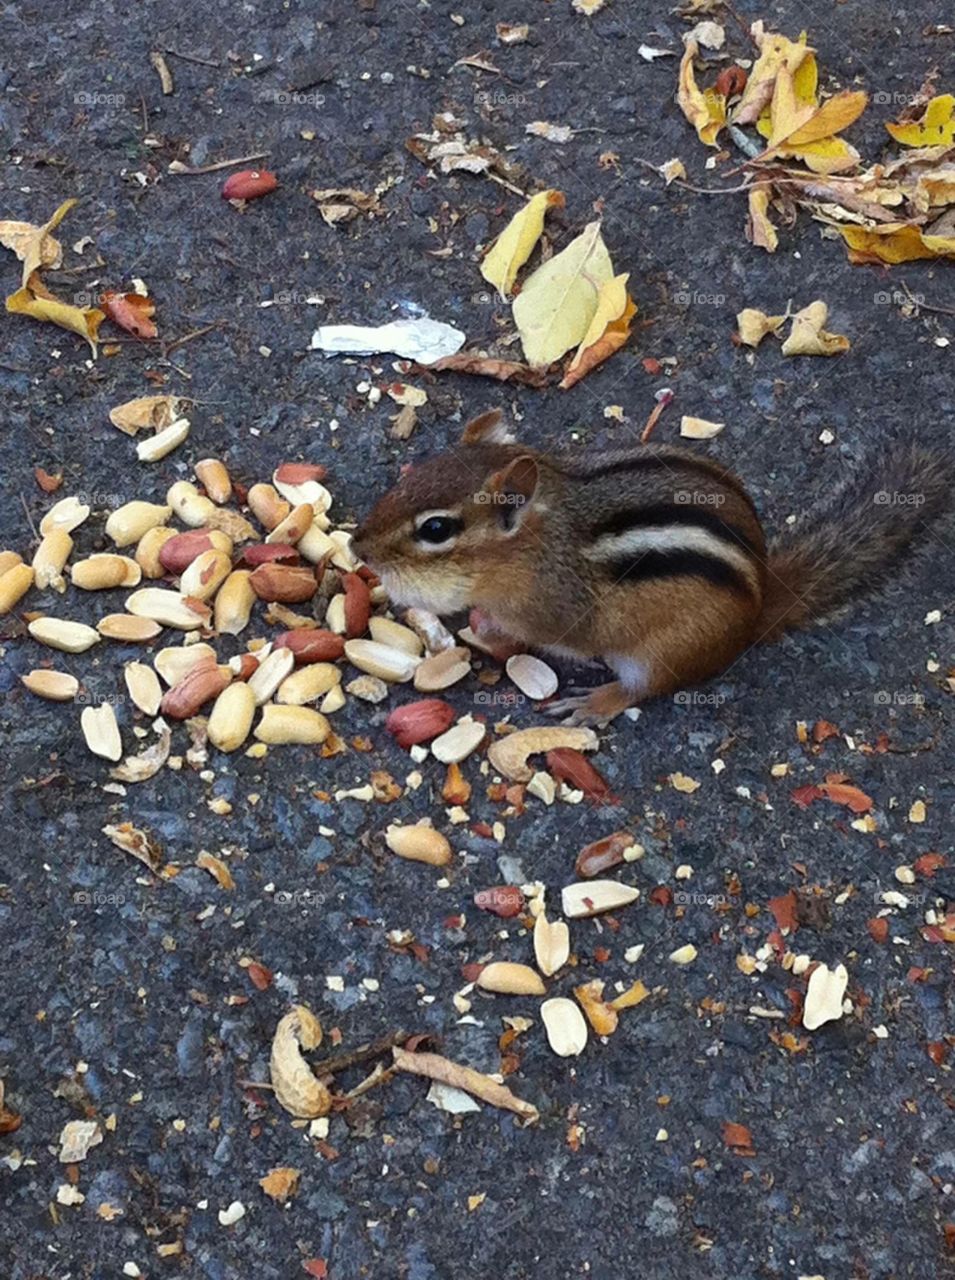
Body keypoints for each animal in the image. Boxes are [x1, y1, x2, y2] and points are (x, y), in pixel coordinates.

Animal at [353, 409, 952, 725]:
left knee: (647, 687)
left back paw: (597, 701)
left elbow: (534, 634)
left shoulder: (554, 612)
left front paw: (483, 626)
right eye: (413, 474)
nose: (359, 547)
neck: (539, 543)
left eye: (436, 529)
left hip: (663, 651)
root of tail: (758, 610)